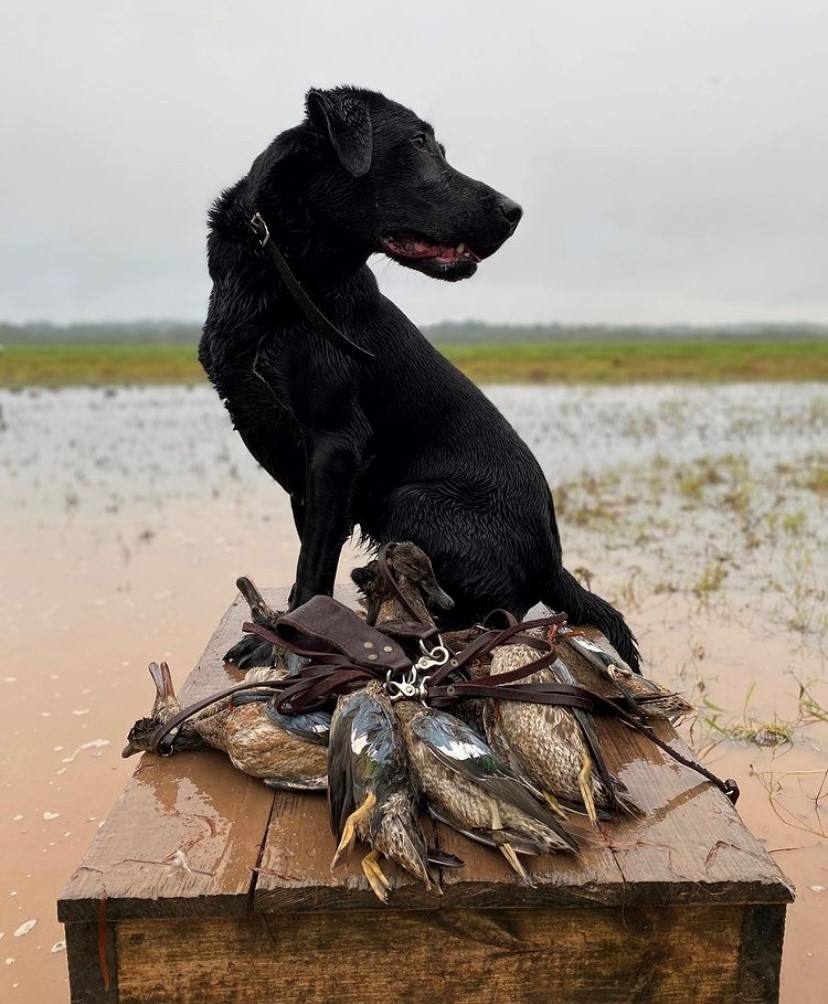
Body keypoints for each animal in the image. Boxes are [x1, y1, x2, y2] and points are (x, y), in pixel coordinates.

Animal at [200, 86, 638, 666]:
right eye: (417, 143)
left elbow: (312, 568)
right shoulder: (301, 464)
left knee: (493, 610)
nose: (514, 211)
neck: (281, 282)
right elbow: (307, 558)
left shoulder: (335, 446)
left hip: (411, 498)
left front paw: (291, 643)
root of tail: (553, 563)